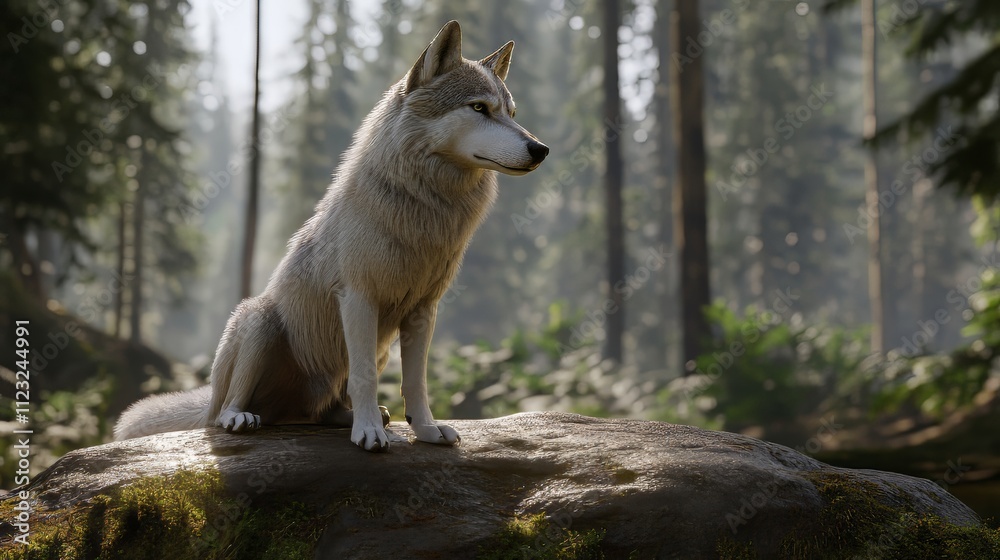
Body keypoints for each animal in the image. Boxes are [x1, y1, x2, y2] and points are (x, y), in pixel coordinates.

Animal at [114, 20, 548, 451]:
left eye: (511, 113)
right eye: (479, 108)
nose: (541, 149)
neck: (423, 205)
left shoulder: (424, 311)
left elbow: (416, 382)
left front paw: (425, 429)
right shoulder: (358, 298)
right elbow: (365, 378)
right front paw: (369, 434)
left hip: (373, 351)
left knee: (325, 410)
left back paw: (353, 417)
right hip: (258, 321)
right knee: (226, 410)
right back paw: (243, 417)